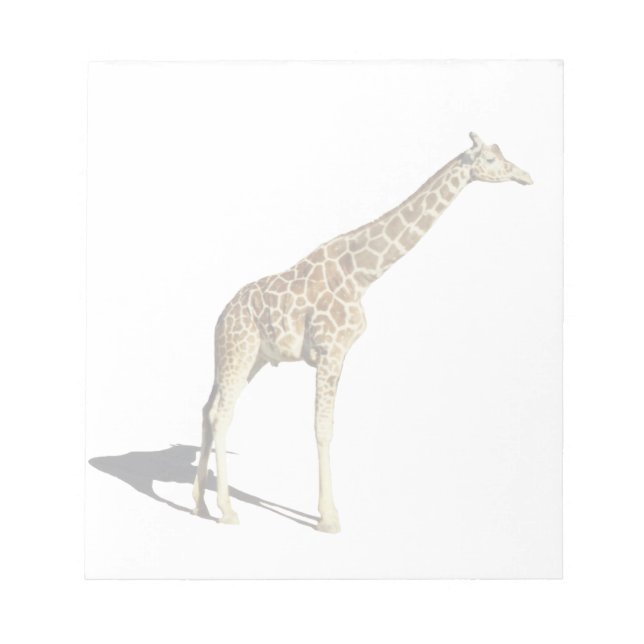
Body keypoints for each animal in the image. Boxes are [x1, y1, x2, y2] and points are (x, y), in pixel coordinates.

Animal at [192, 132, 533, 532]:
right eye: (491, 160)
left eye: (503, 154)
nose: (525, 176)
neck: (363, 273)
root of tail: (221, 316)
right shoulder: (329, 350)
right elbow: (322, 428)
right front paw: (328, 518)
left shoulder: (341, 356)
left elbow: (329, 426)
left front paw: (327, 513)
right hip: (240, 351)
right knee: (221, 413)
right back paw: (226, 511)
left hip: (247, 357)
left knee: (208, 409)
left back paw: (199, 504)